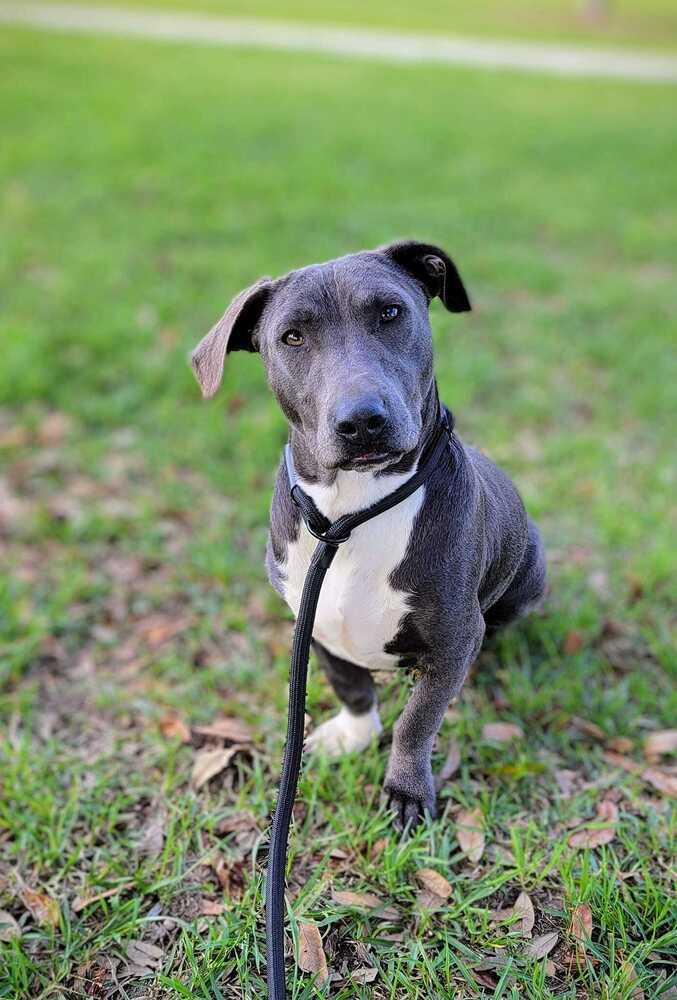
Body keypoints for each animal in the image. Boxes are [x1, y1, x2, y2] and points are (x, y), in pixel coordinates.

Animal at [190, 244, 544, 836]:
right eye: (292, 336)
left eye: (390, 312)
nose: (361, 421)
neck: (353, 510)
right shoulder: (312, 621)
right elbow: (351, 685)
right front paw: (353, 734)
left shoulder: (454, 638)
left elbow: (416, 721)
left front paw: (405, 792)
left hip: (530, 577)